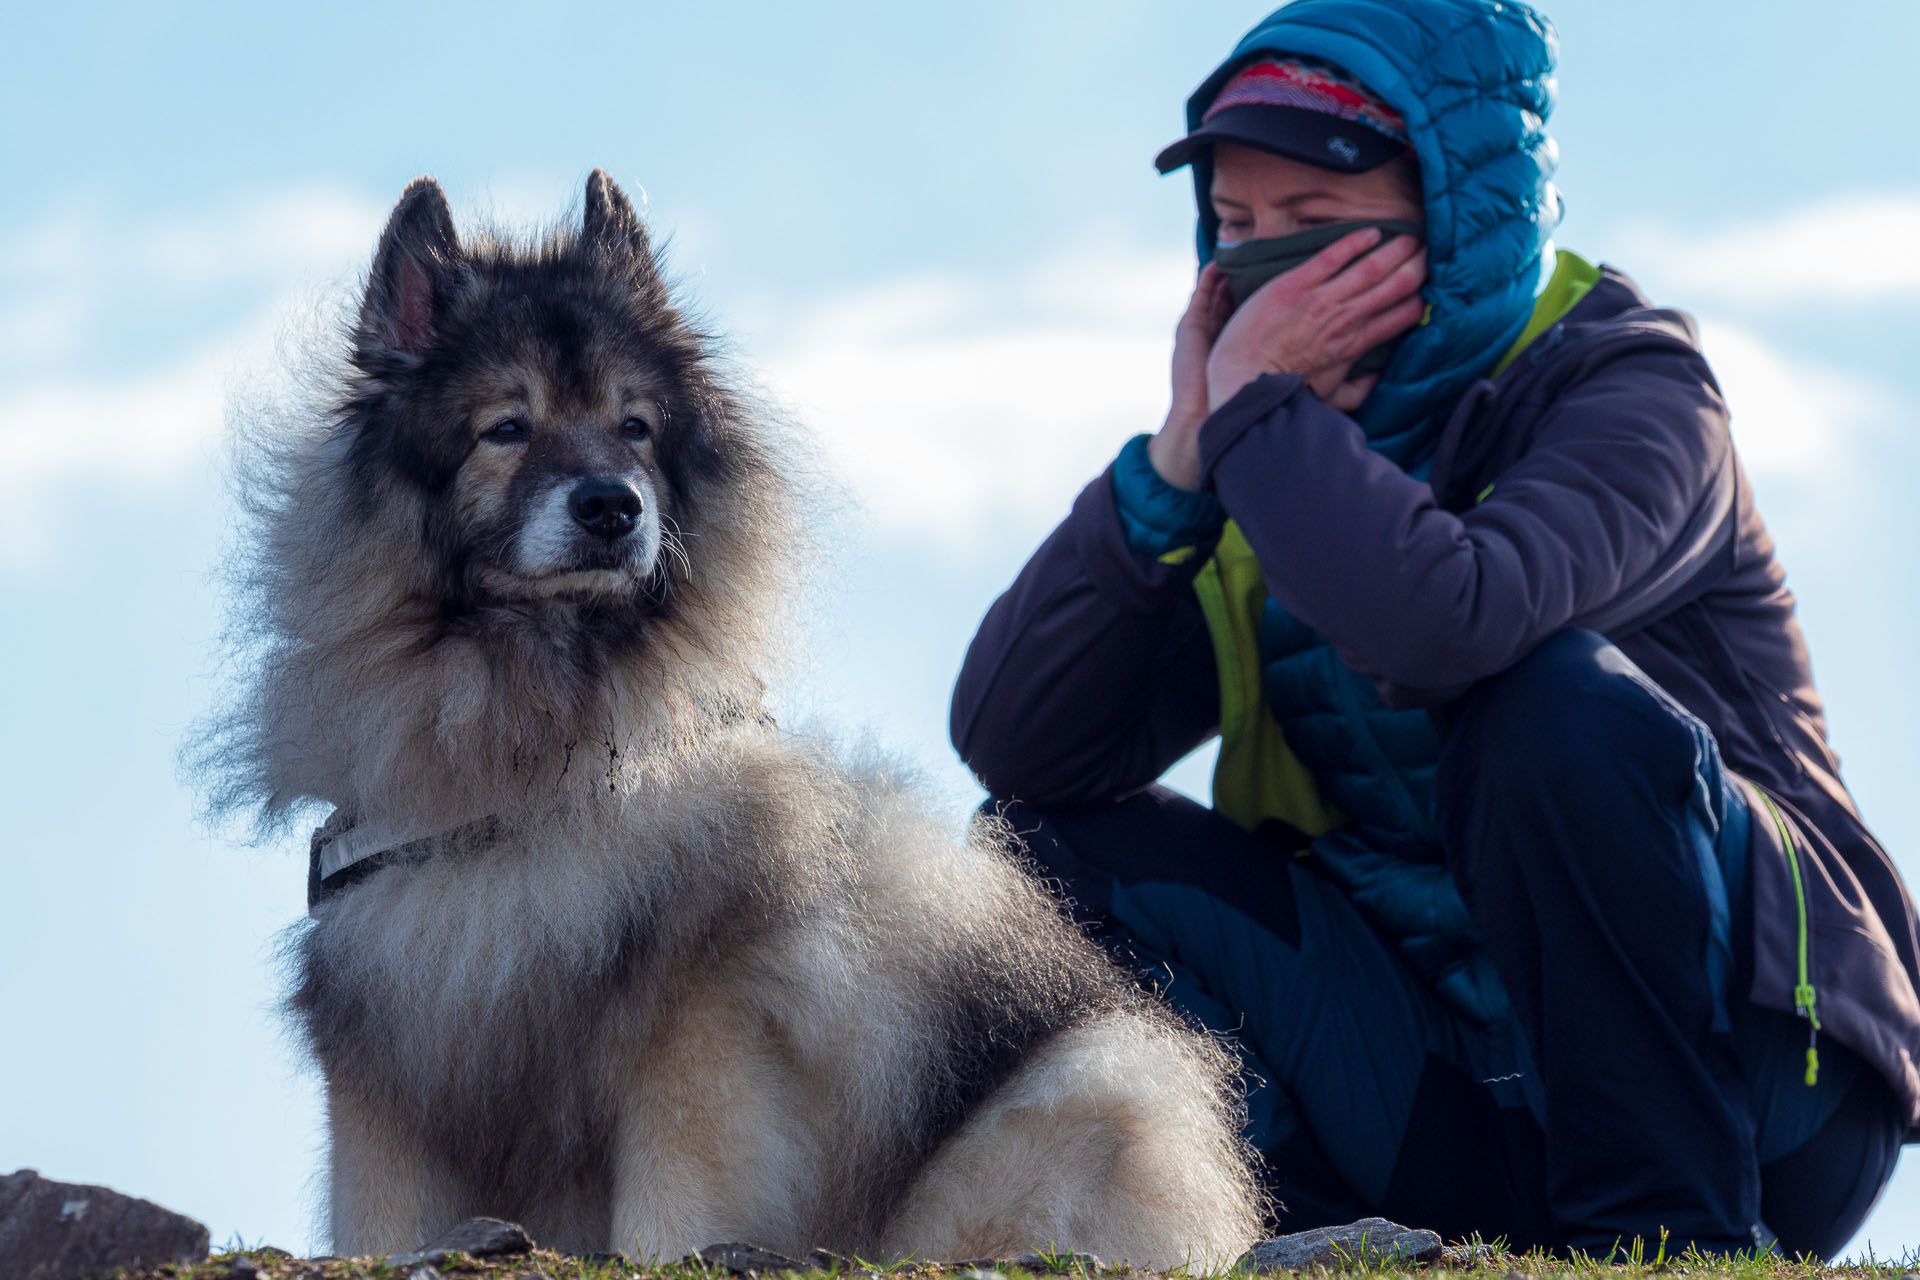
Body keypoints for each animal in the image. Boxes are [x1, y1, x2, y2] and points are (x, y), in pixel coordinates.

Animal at [198, 172, 1259, 1274]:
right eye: (507, 427)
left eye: (634, 426)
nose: (612, 507)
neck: (536, 752)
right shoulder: (385, 1061)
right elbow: (378, 1221)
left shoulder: (695, 1034)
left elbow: (671, 1211)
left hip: (1082, 1087)